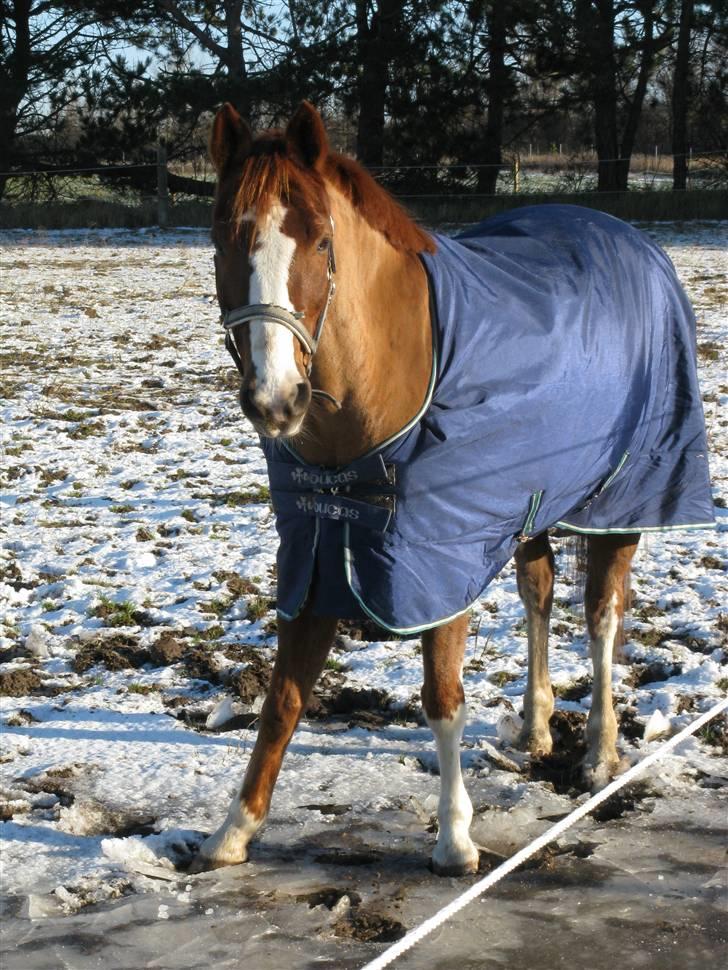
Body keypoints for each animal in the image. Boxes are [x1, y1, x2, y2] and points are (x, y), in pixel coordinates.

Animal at [193, 102, 664, 872]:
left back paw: (599, 753)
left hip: (621, 504)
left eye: (321, 240)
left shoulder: (435, 563)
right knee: (539, 595)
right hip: (528, 508)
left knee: (602, 616)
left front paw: (454, 839)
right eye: (220, 239)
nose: (276, 401)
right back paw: (536, 730)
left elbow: (443, 698)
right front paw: (235, 830)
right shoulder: (316, 554)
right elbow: (283, 698)